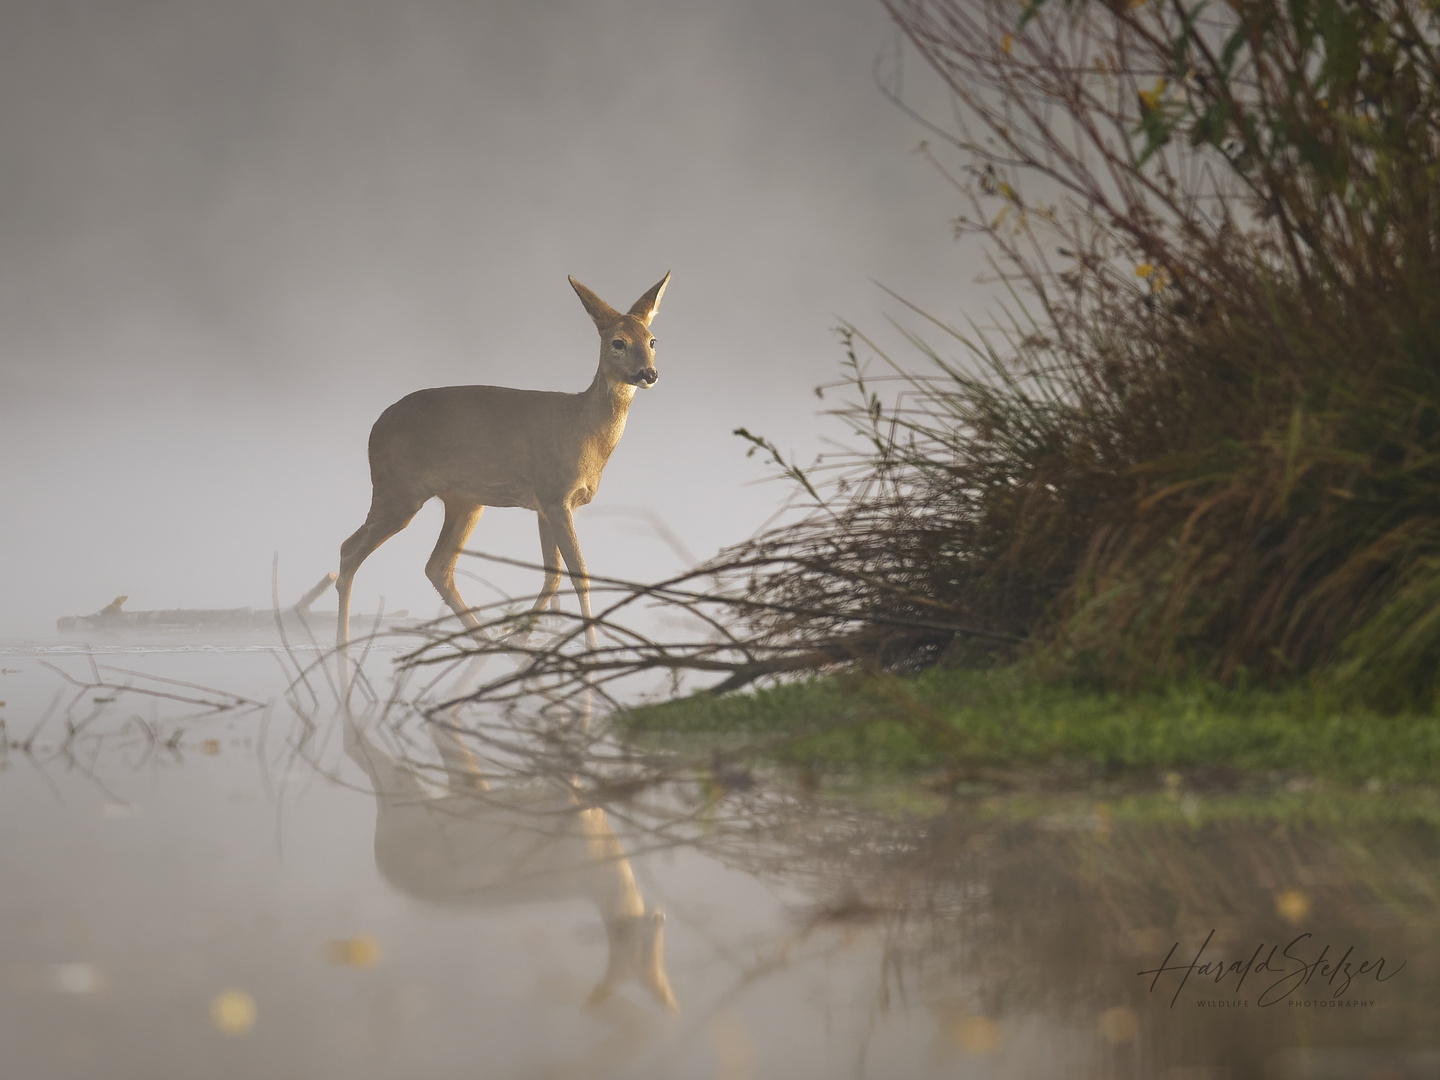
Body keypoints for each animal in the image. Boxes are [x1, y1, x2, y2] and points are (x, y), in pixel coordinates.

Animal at [338, 275, 673, 656]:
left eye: (652, 340)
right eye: (618, 342)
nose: (649, 373)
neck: (583, 429)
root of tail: (376, 426)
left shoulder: (545, 506)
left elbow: (553, 574)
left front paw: (521, 637)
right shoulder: (554, 495)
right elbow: (579, 574)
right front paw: (589, 647)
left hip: (464, 501)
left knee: (436, 566)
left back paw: (486, 642)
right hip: (398, 489)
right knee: (349, 551)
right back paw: (342, 647)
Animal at [339, 714, 676, 1019]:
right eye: (646, 953)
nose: (659, 914)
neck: (599, 874)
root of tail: (382, 860)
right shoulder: (561, 793)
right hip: (406, 787)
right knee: (355, 740)